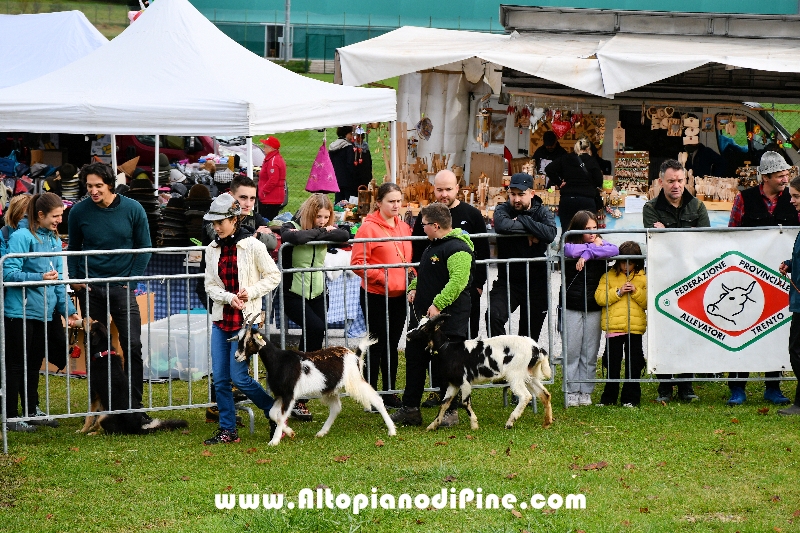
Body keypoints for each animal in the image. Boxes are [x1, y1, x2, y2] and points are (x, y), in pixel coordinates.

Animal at [230, 318, 396, 446]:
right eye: (238, 339)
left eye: (249, 340)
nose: (236, 356)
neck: (278, 360)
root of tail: (354, 356)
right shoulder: (280, 395)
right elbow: (272, 413)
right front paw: (289, 432)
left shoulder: (290, 395)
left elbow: (281, 416)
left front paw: (274, 441)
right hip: (331, 388)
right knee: (336, 408)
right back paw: (321, 432)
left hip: (354, 380)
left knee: (376, 399)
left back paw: (392, 430)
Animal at [406, 314, 552, 430]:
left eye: (425, 328)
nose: (408, 335)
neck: (448, 350)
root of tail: (537, 348)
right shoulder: (454, 384)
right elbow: (444, 404)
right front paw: (432, 425)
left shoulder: (465, 382)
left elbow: (465, 402)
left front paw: (474, 425)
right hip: (529, 375)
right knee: (544, 394)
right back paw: (547, 423)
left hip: (515, 375)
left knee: (526, 396)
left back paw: (510, 422)